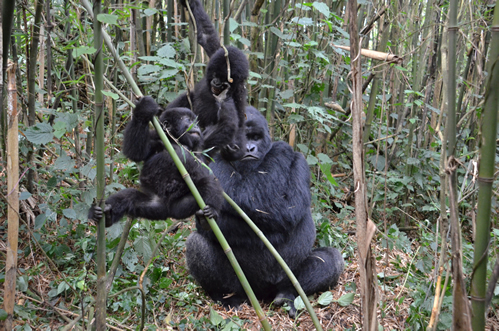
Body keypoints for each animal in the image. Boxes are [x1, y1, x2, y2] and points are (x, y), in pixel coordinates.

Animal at [89, 95, 224, 226]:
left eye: (195, 121)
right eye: (188, 120)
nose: (196, 126)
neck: (174, 139)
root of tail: (168, 212)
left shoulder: (200, 147)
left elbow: (201, 166)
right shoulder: (156, 136)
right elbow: (136, 152)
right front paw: (144, 109)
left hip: (181, 207)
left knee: (207, 181)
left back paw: (208, 214)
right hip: (153, 205)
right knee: (129, 196)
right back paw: (106, 215)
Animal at [186, 107, 346, 318]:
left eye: (255, 137)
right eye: (241, 138)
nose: (249, 149)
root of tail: (263, 294)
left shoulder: (300, 162)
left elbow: (289, 208)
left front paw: (281, 150)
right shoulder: (210, 159)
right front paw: (207, 221)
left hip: (284, 278)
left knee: (332, 259)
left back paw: (288, 294)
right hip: (246, 287)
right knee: (196, 244)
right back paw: (228, 297)